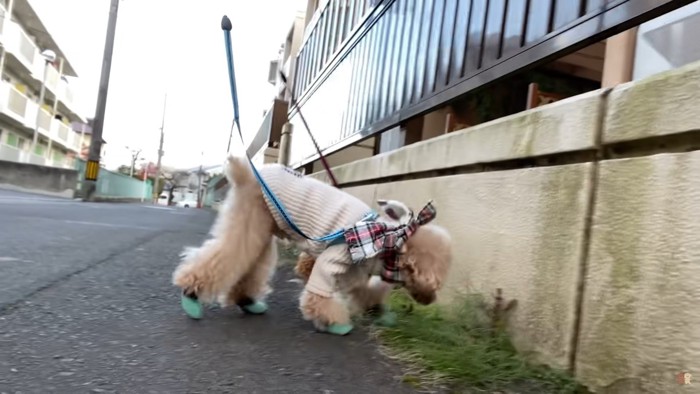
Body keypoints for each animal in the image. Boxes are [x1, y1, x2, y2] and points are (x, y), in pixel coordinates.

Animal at [172, 155, 452, 334]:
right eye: (434, 282)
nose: (430, 300)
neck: (388, 237)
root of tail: (248, 172)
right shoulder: (335, 257)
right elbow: (318, 295)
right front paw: (337, 323)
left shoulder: (354, 271)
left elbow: (362, 291)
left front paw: (376, 309)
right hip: (250, 219)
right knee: (224, 256)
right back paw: (192, 297)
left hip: (261, 227)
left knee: (250, 263)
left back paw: (247, 301)